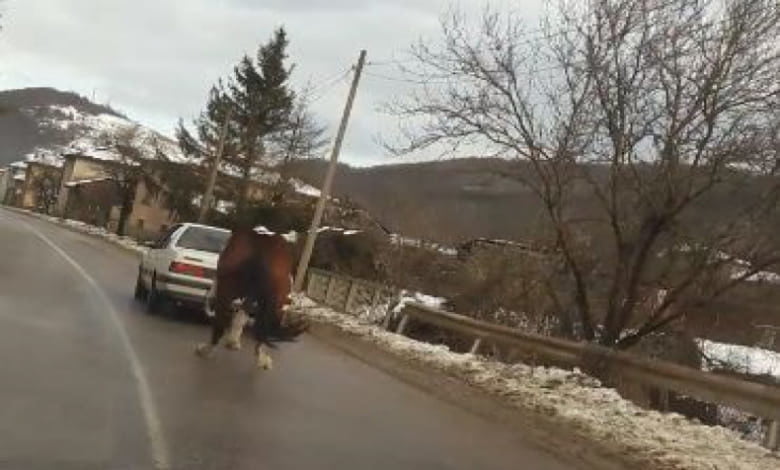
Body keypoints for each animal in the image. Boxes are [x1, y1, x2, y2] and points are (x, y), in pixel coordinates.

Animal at [195, 226, 308, 370]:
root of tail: (262, 247)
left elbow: (241, 315)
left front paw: (232, 341)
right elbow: (243, 316)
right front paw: (234, 341)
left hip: (226, 290)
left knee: (221, 321)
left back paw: (206, 350)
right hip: (279, 298)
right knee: (265, 327)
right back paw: (263, 359)